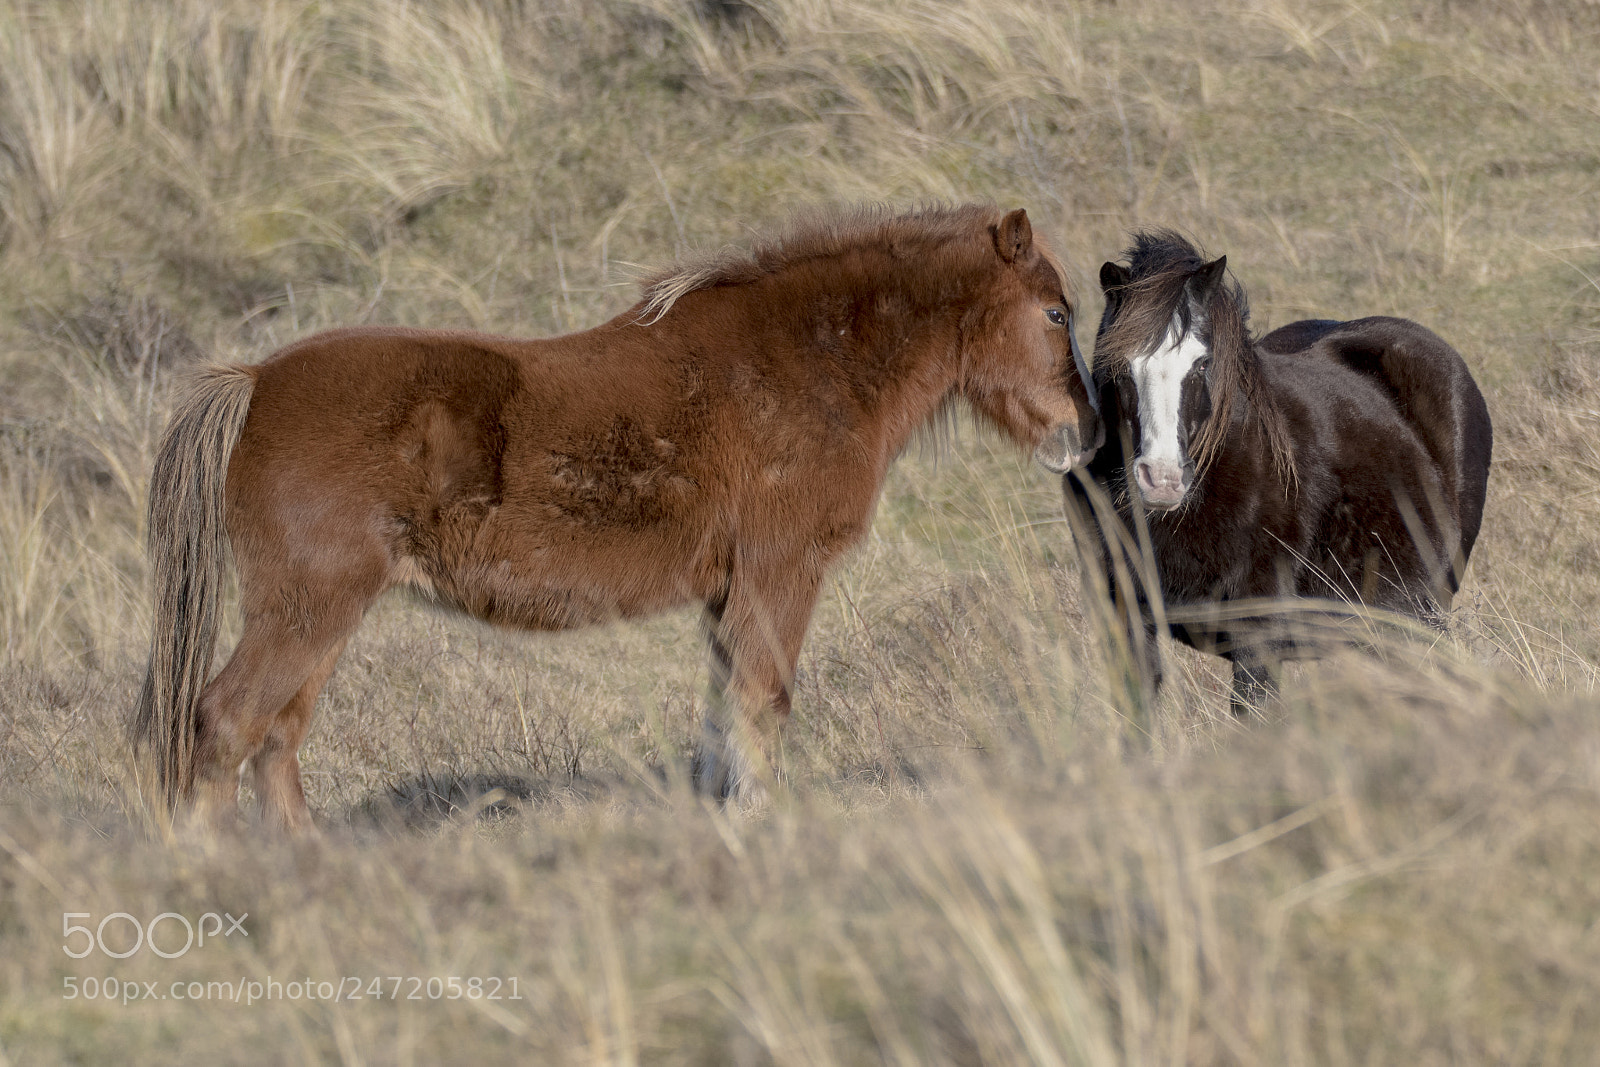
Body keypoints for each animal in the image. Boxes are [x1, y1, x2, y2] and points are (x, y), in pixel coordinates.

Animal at [133, 203, 1103, 831]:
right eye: (1055, 311)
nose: (1086, 434)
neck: (803, 364)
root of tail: (254, 382)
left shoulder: (728, 595)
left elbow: (722, 718)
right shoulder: (778, 574)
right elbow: (764, 702)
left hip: (322, 615)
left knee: (274, 738)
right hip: (310, 607)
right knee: (225, 723)